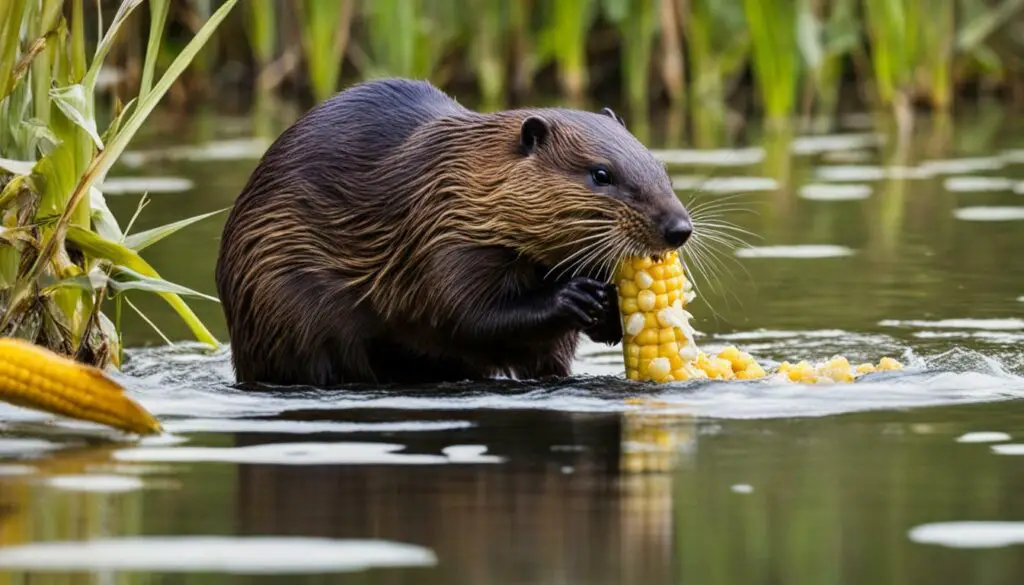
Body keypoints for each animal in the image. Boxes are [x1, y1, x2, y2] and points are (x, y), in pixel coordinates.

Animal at [219, 78, 692, 389]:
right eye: (601, 174)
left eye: (660, 166)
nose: (678, 228)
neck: (461, 176)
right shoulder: (441, 235)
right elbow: (460, 313)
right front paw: (575, 295)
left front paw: (608, 305)